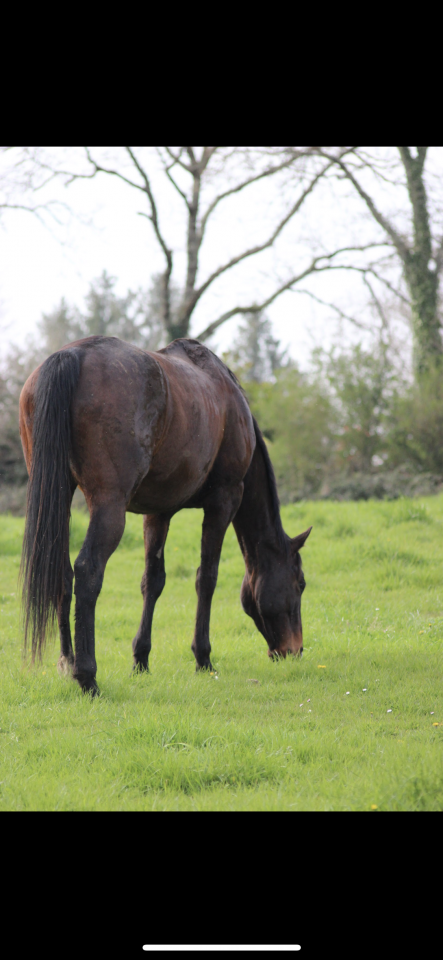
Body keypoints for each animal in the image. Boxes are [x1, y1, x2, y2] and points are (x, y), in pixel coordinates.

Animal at [19, 335, 311, 695]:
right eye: (300, 583)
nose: (294, 649)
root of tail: (74, 353)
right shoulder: (224, 500)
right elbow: (207, 578)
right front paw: (203, 658)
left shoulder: (158, 513)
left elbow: (153, 581)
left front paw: (141, 659)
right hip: (109, 506)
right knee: (87, 572)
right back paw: (87, 676)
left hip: (58, 500)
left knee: (62, 575)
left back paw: (68, 661)